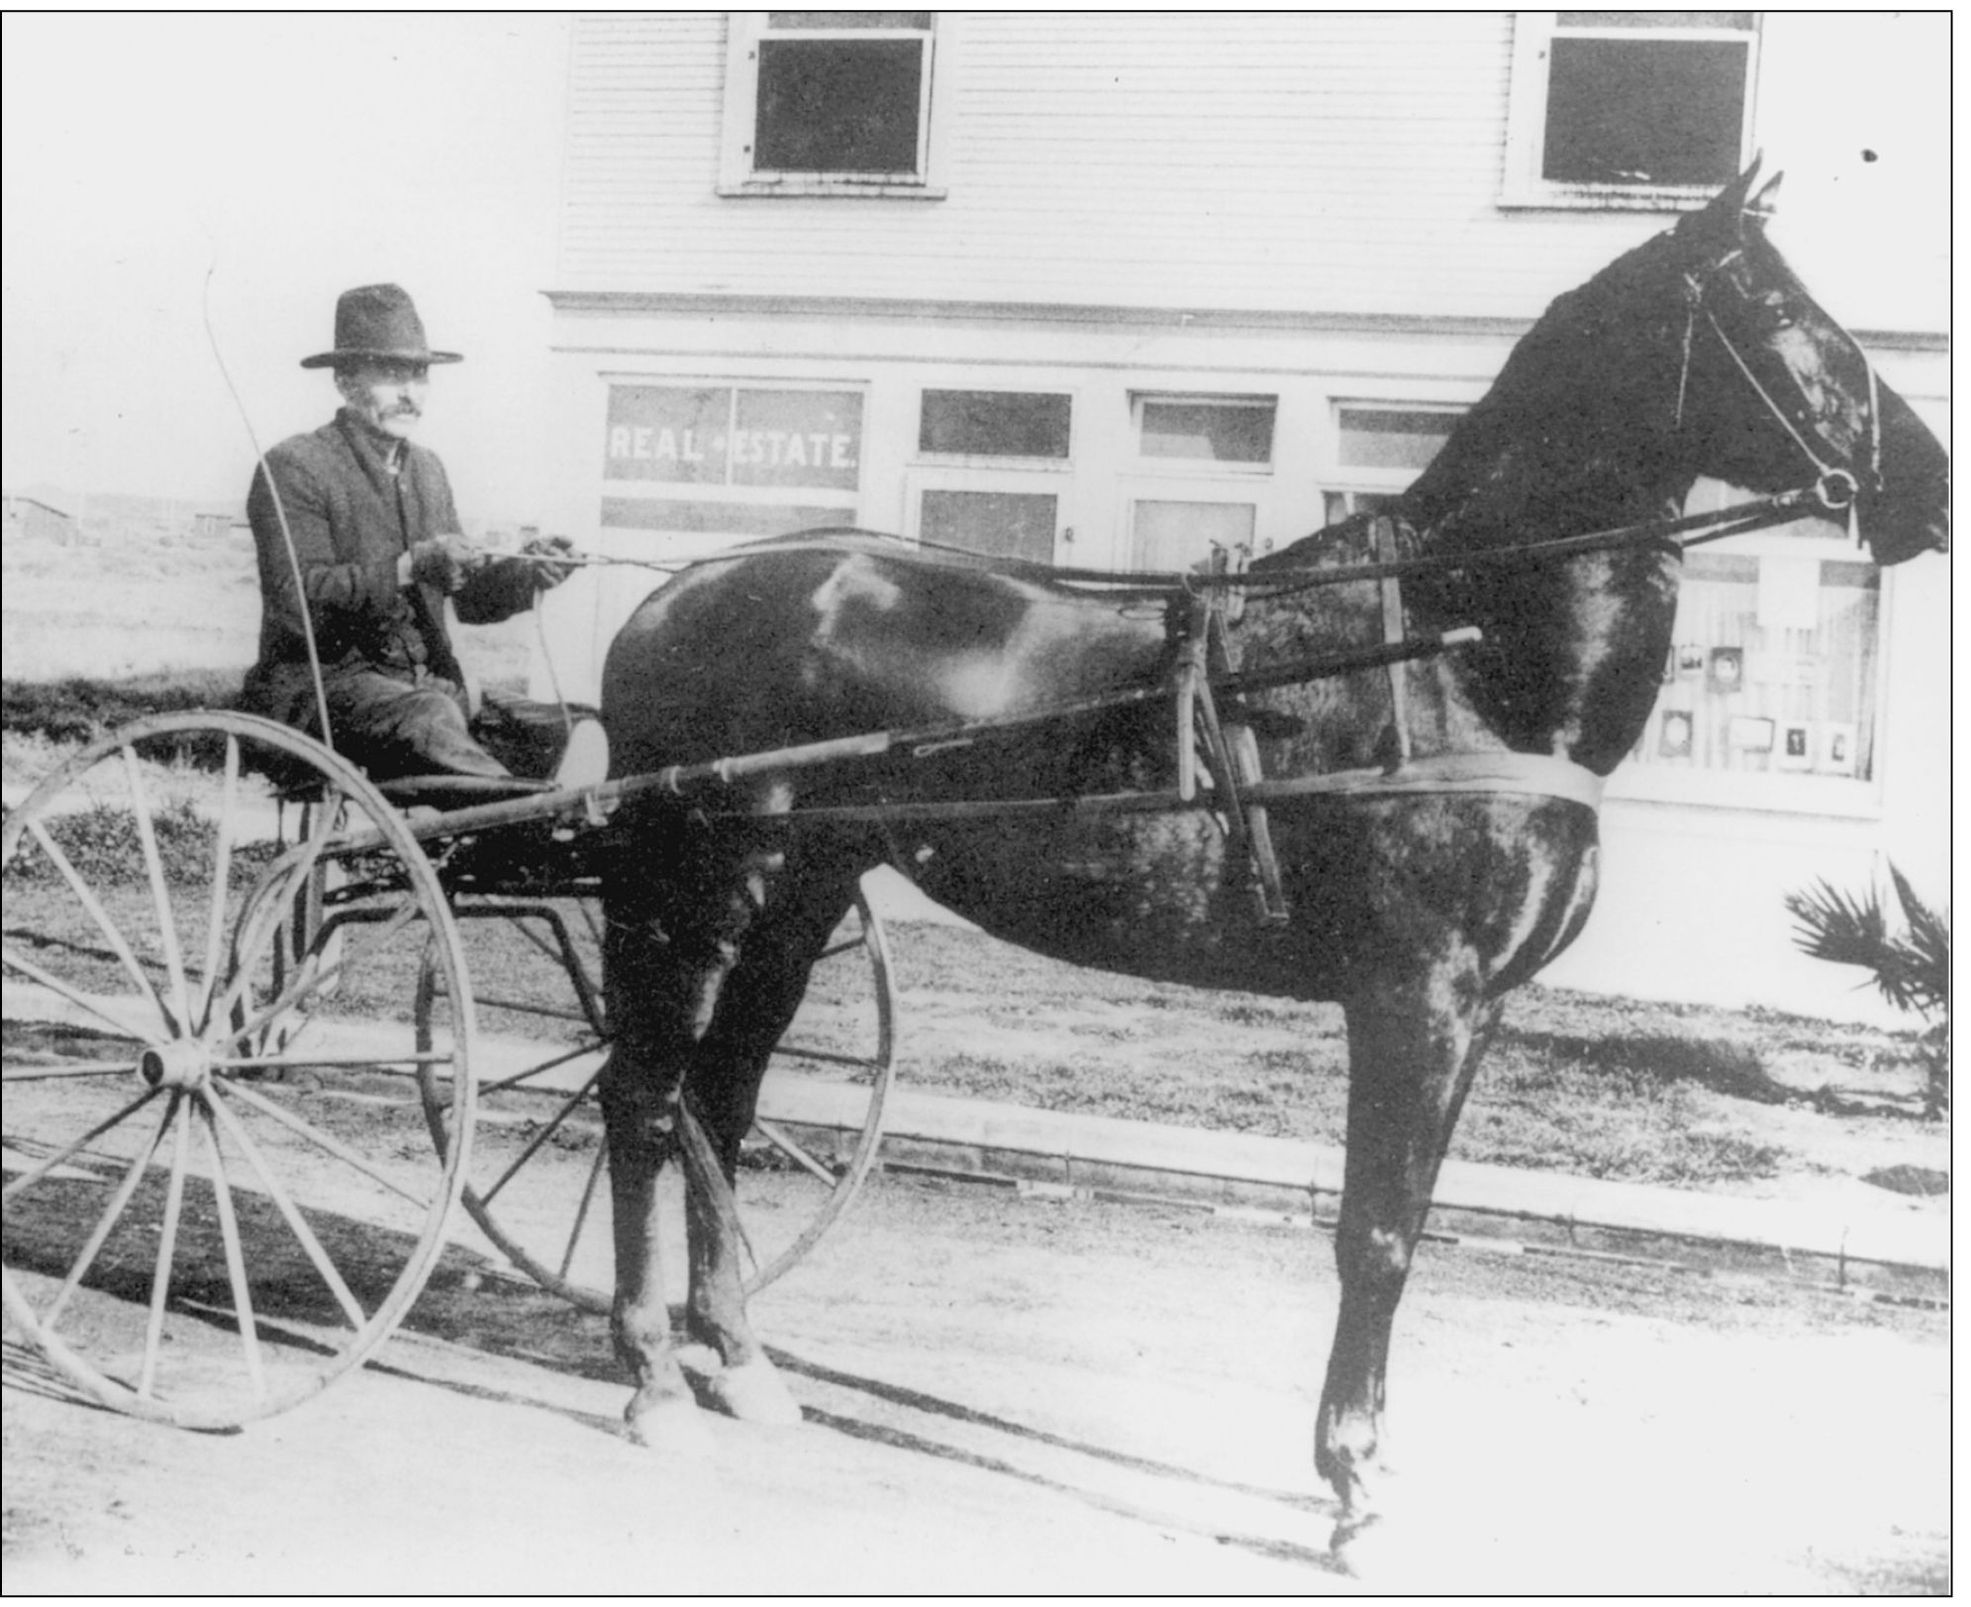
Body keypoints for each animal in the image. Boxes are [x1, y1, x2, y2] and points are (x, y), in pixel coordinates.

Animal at [583, 172, 1939, 1561]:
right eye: (1779, 309)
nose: (1932, 483)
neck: (1454, 652)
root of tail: (669, 596)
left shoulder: (1478, 1013)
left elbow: (1407, 1221)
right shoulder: (1415, 998)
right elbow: (1376, 1233)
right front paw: (1351, 1481)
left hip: (799, 899)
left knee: (719, 1104)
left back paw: (739, 1359)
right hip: (698, 898)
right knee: (643, 1101)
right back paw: (653, 1377)